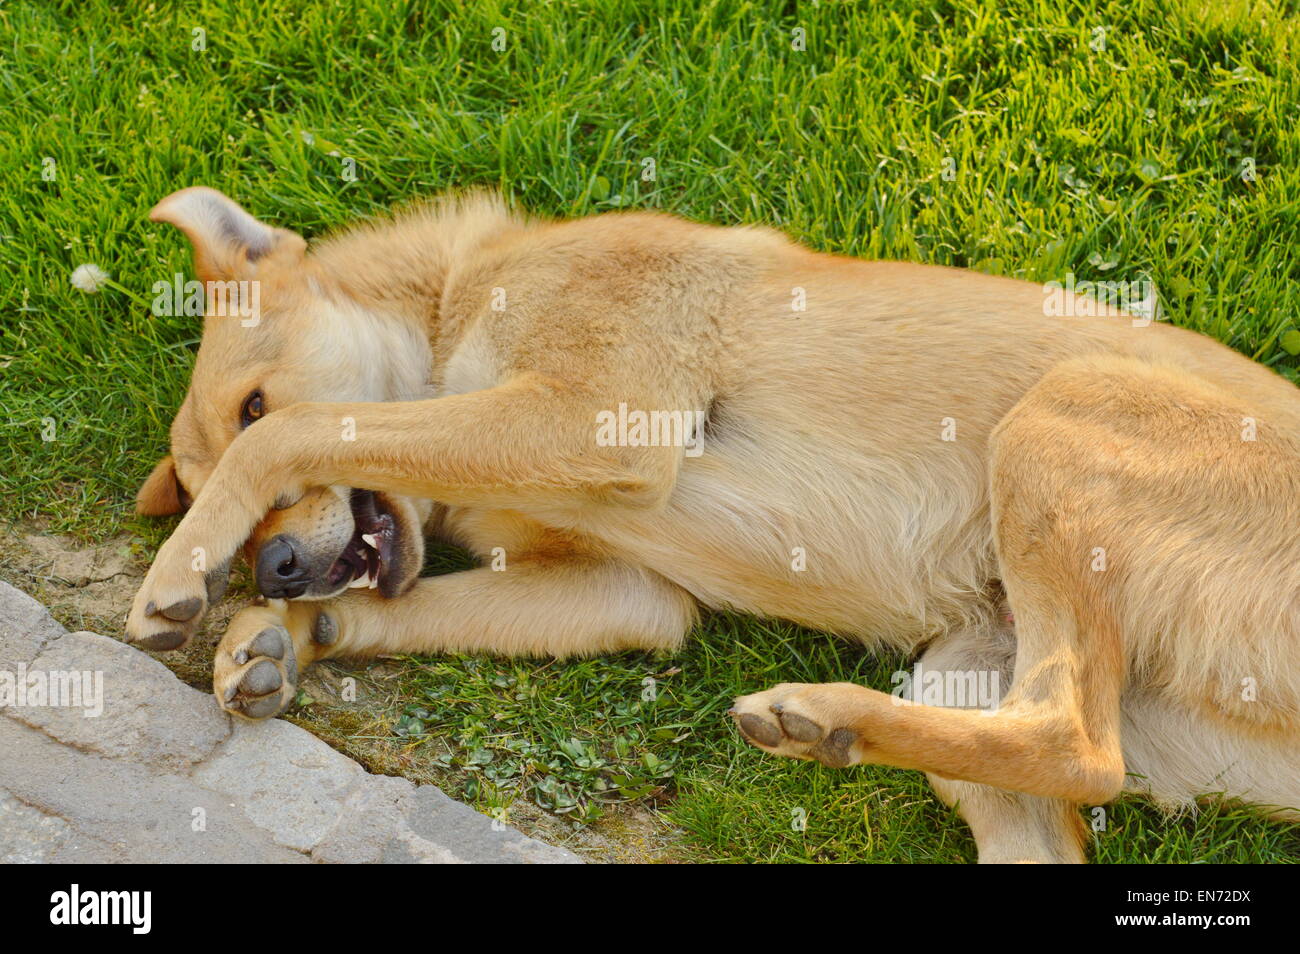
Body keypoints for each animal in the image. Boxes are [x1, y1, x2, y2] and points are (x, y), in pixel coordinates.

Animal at [129, 187, 1300, 868]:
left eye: (250, 405)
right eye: (250, 540)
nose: (278, 566)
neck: (461, 297)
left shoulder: (592, 422)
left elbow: (313, 433)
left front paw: (180, 578)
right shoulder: (630, 595)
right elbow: (403, 598)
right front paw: (280, 637)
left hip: (1058, 416)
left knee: (1077, 742)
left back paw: (817, 711)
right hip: (964, 678)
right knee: (1062, 757)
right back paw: (828, 723)